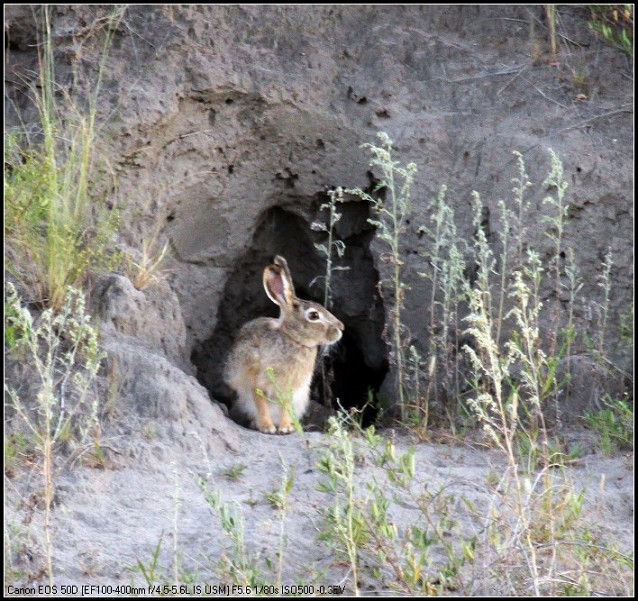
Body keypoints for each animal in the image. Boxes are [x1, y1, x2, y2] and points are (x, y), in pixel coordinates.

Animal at [225, 253, 344, 432]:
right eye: (314, 315)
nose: (341, 328)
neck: (292, 338)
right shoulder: (256, 380)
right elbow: (261, 403)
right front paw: (267, 427)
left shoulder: (291, 388)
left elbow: (286, 405)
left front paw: (286, 427)